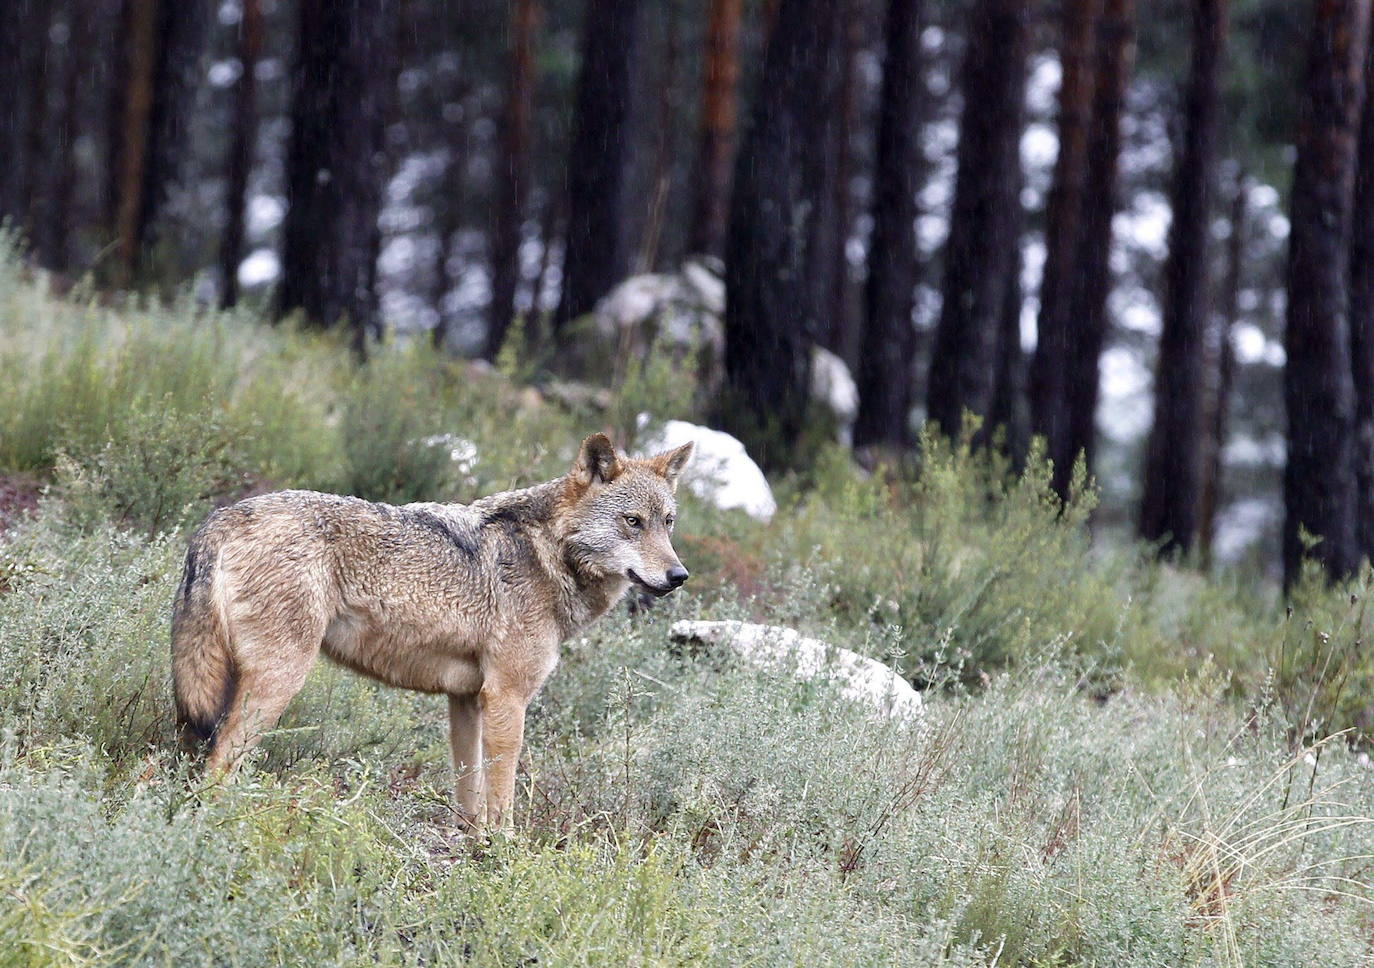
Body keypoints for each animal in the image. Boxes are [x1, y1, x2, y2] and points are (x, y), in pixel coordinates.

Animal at [171, 433, 692, 829]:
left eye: (667, 523)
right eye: (632, 522)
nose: (678, 576)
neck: (547, 554)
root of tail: (220, 518)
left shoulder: (466, 700)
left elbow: (470, 792)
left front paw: (473, 845)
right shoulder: (507, 699)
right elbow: (501, 797)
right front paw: (505, 854)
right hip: (277, 682)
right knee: (219, 764)